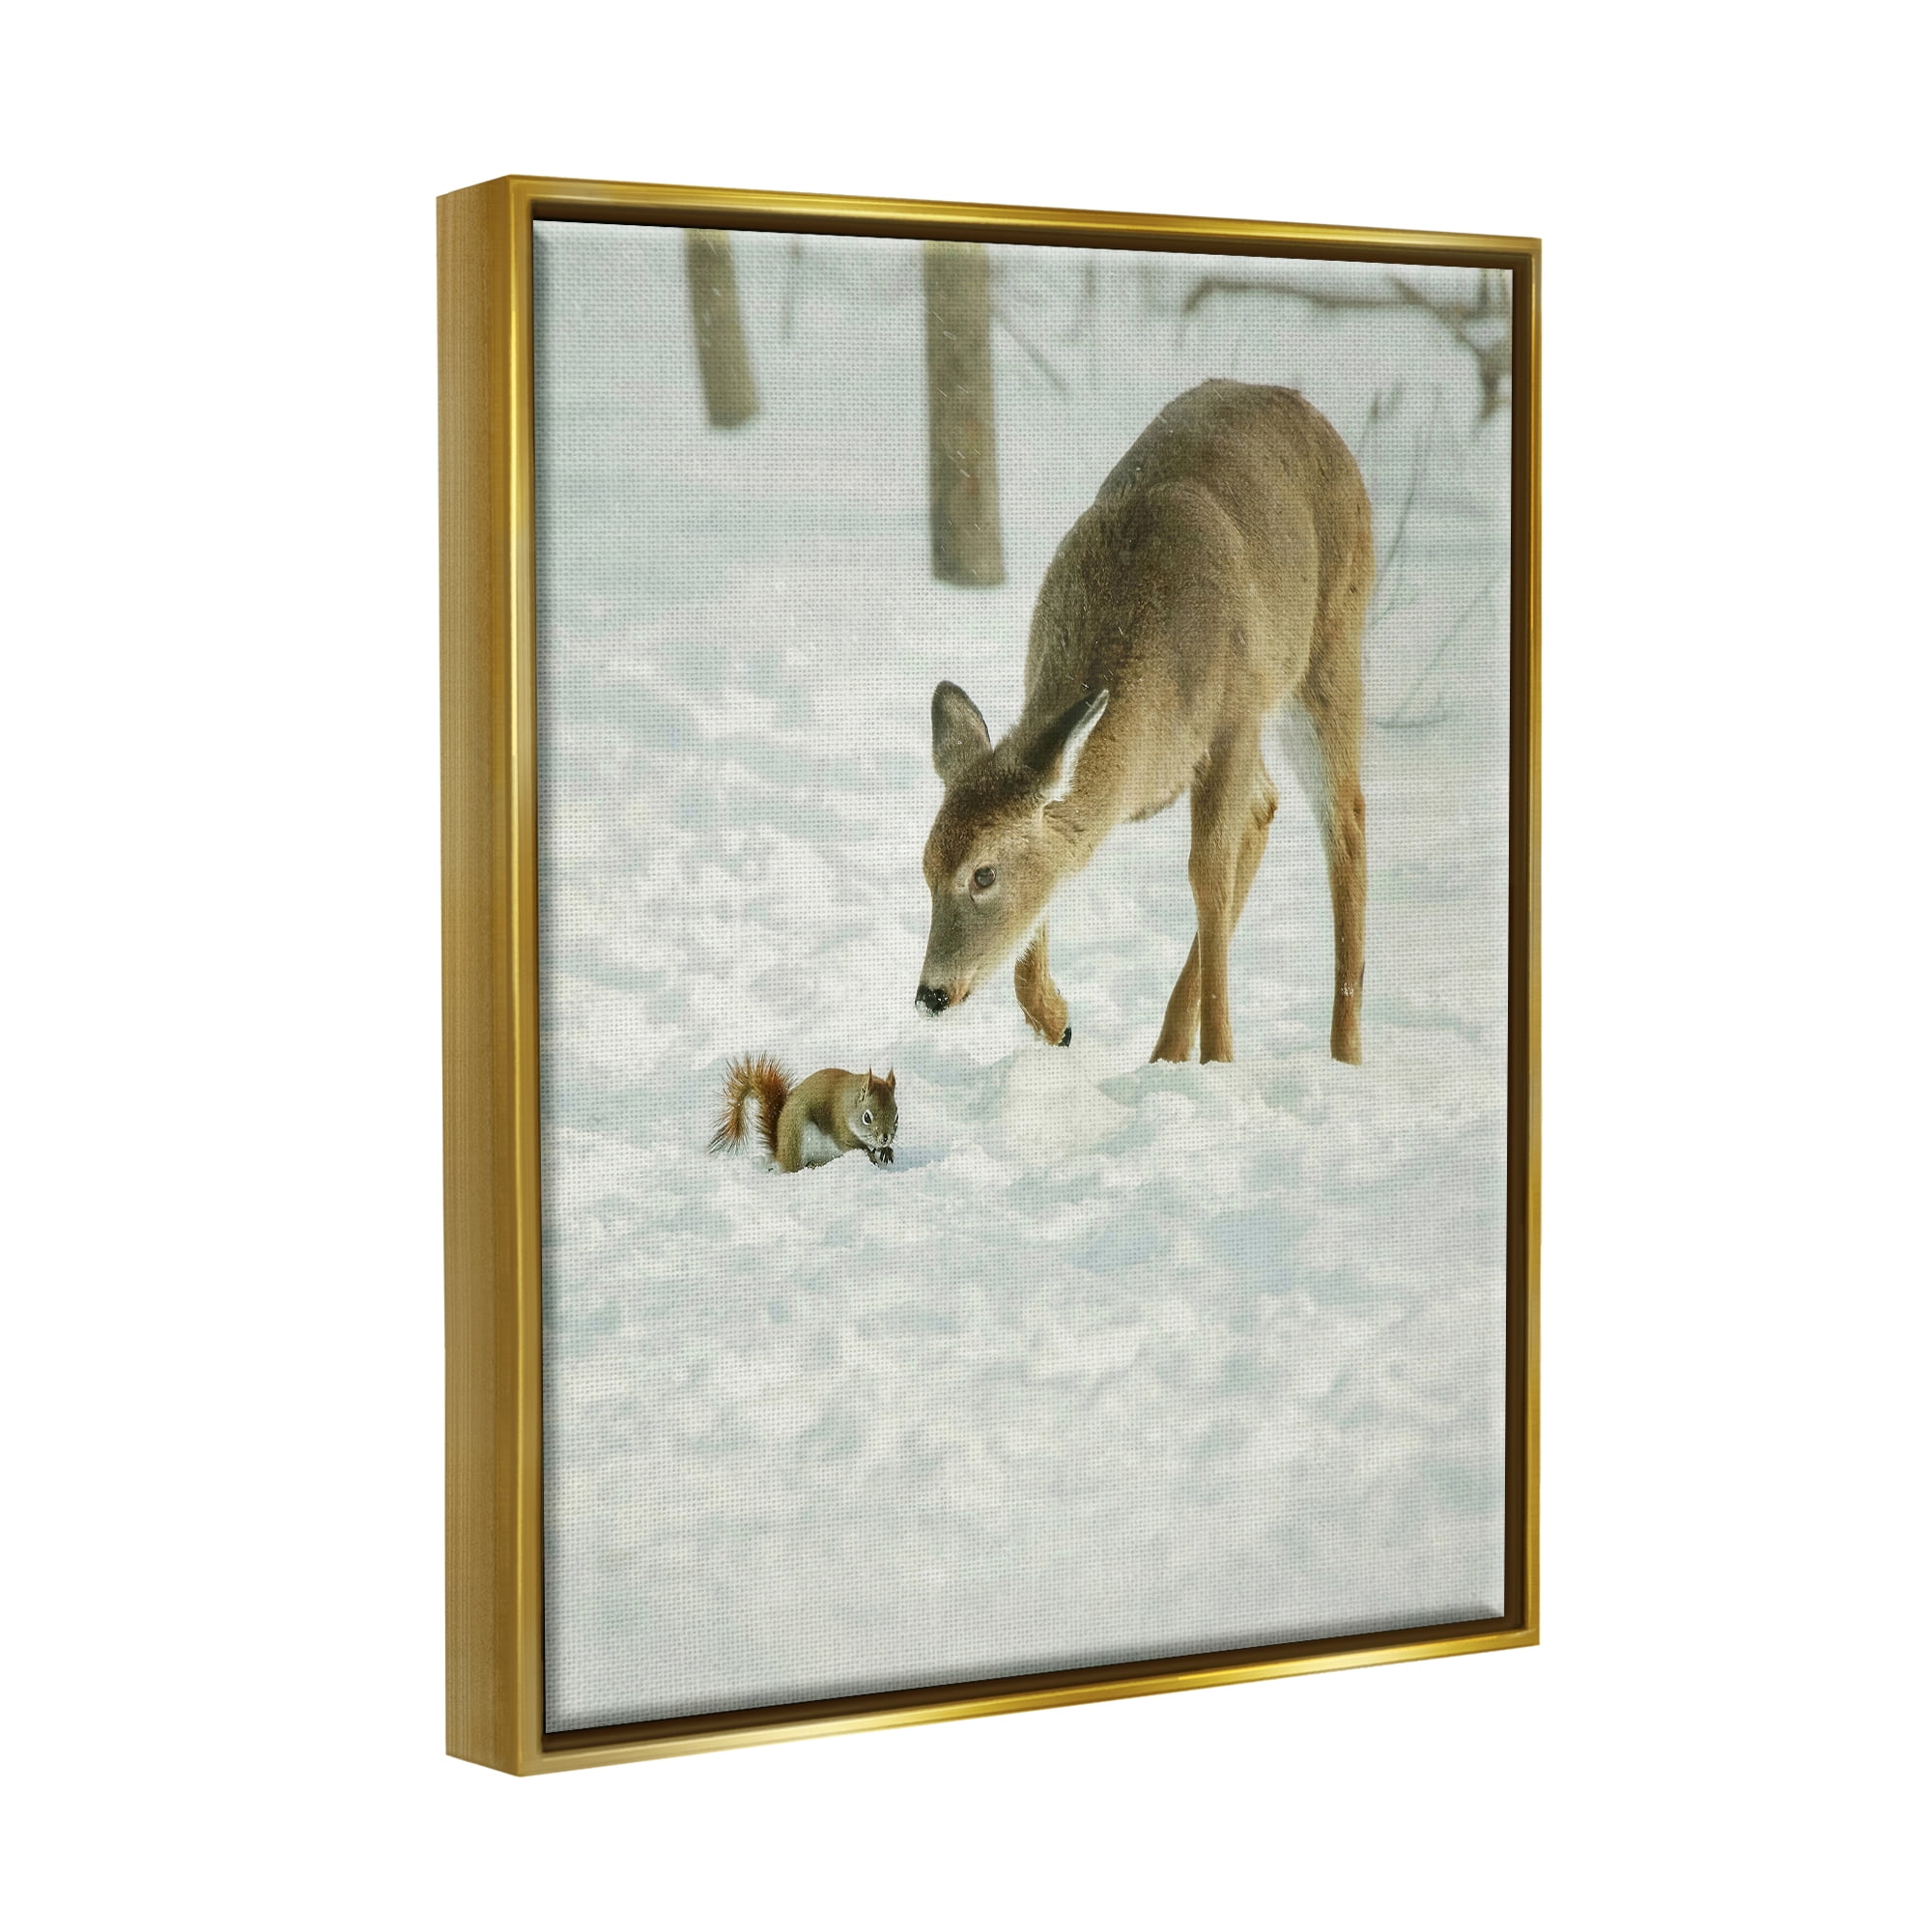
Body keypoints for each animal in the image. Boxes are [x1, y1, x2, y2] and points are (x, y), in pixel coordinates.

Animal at [709, 1054, 898, 1173]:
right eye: (867, 1117)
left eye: (897, 1117)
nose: (885, 1137)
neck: (848, 1104)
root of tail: (780, 1153)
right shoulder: (840, 1129)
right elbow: (854, 1146)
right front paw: (871, 1156)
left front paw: (887, 1151)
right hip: (798, 1138)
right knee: (796, 1167)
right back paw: (813, 1165)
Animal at [914, 379, 1370, 1066]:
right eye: (925, 869)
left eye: (984, 873)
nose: (931, 994)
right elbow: (1059, 861)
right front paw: (1056, 1020)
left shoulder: (1235, 717)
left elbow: (1206, 874)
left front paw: (1220, 1060)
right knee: (1268, 805)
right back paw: (1165, 1051)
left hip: (1328, 647)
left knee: (1344, 820)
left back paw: (1342, 1054)